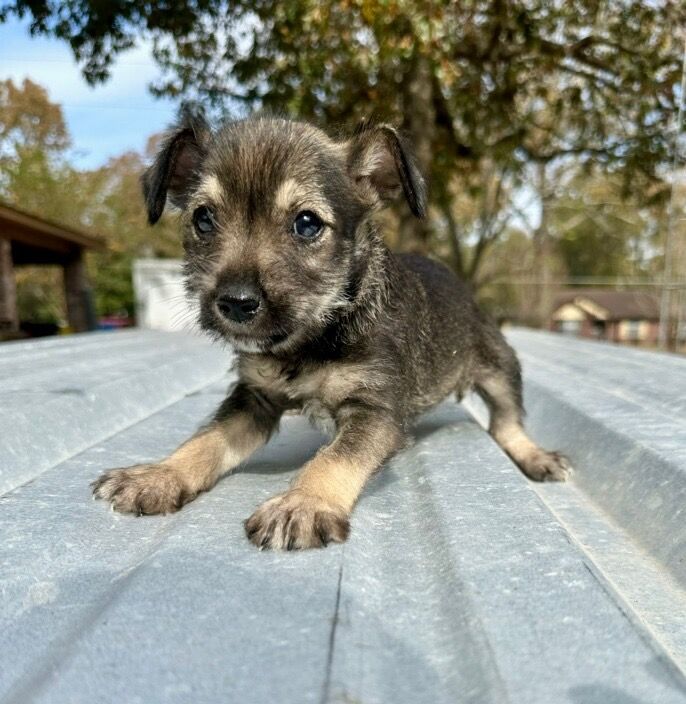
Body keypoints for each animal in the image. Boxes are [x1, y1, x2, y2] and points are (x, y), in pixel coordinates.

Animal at [94, 110, 572, 552]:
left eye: (307, 224)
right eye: (204, 218)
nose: (236, 304)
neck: (317, 334)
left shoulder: (374, 411)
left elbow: (336, 457)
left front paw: (304, 503)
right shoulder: (253, 399)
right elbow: (206, 438)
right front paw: (160, 474)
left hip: (500, 365)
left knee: (508, 420)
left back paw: (536, 456)